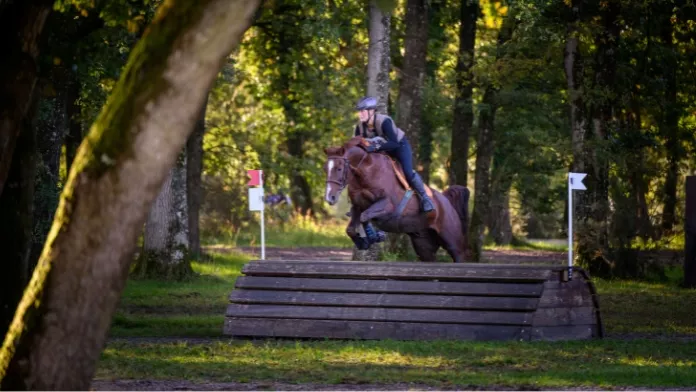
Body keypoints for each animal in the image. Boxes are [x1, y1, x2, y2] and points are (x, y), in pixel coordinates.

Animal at [324, 136, 470, 262]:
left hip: (453, 243)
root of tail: (446, 201)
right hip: (424, 245)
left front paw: (374, 237)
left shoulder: (387, 205)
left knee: (459, 255)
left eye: (339, 168)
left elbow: (364, 217)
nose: (330, 198)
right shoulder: (357, 206)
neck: (366, 172)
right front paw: (363, 242)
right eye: (326, 169)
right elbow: (352, 227)